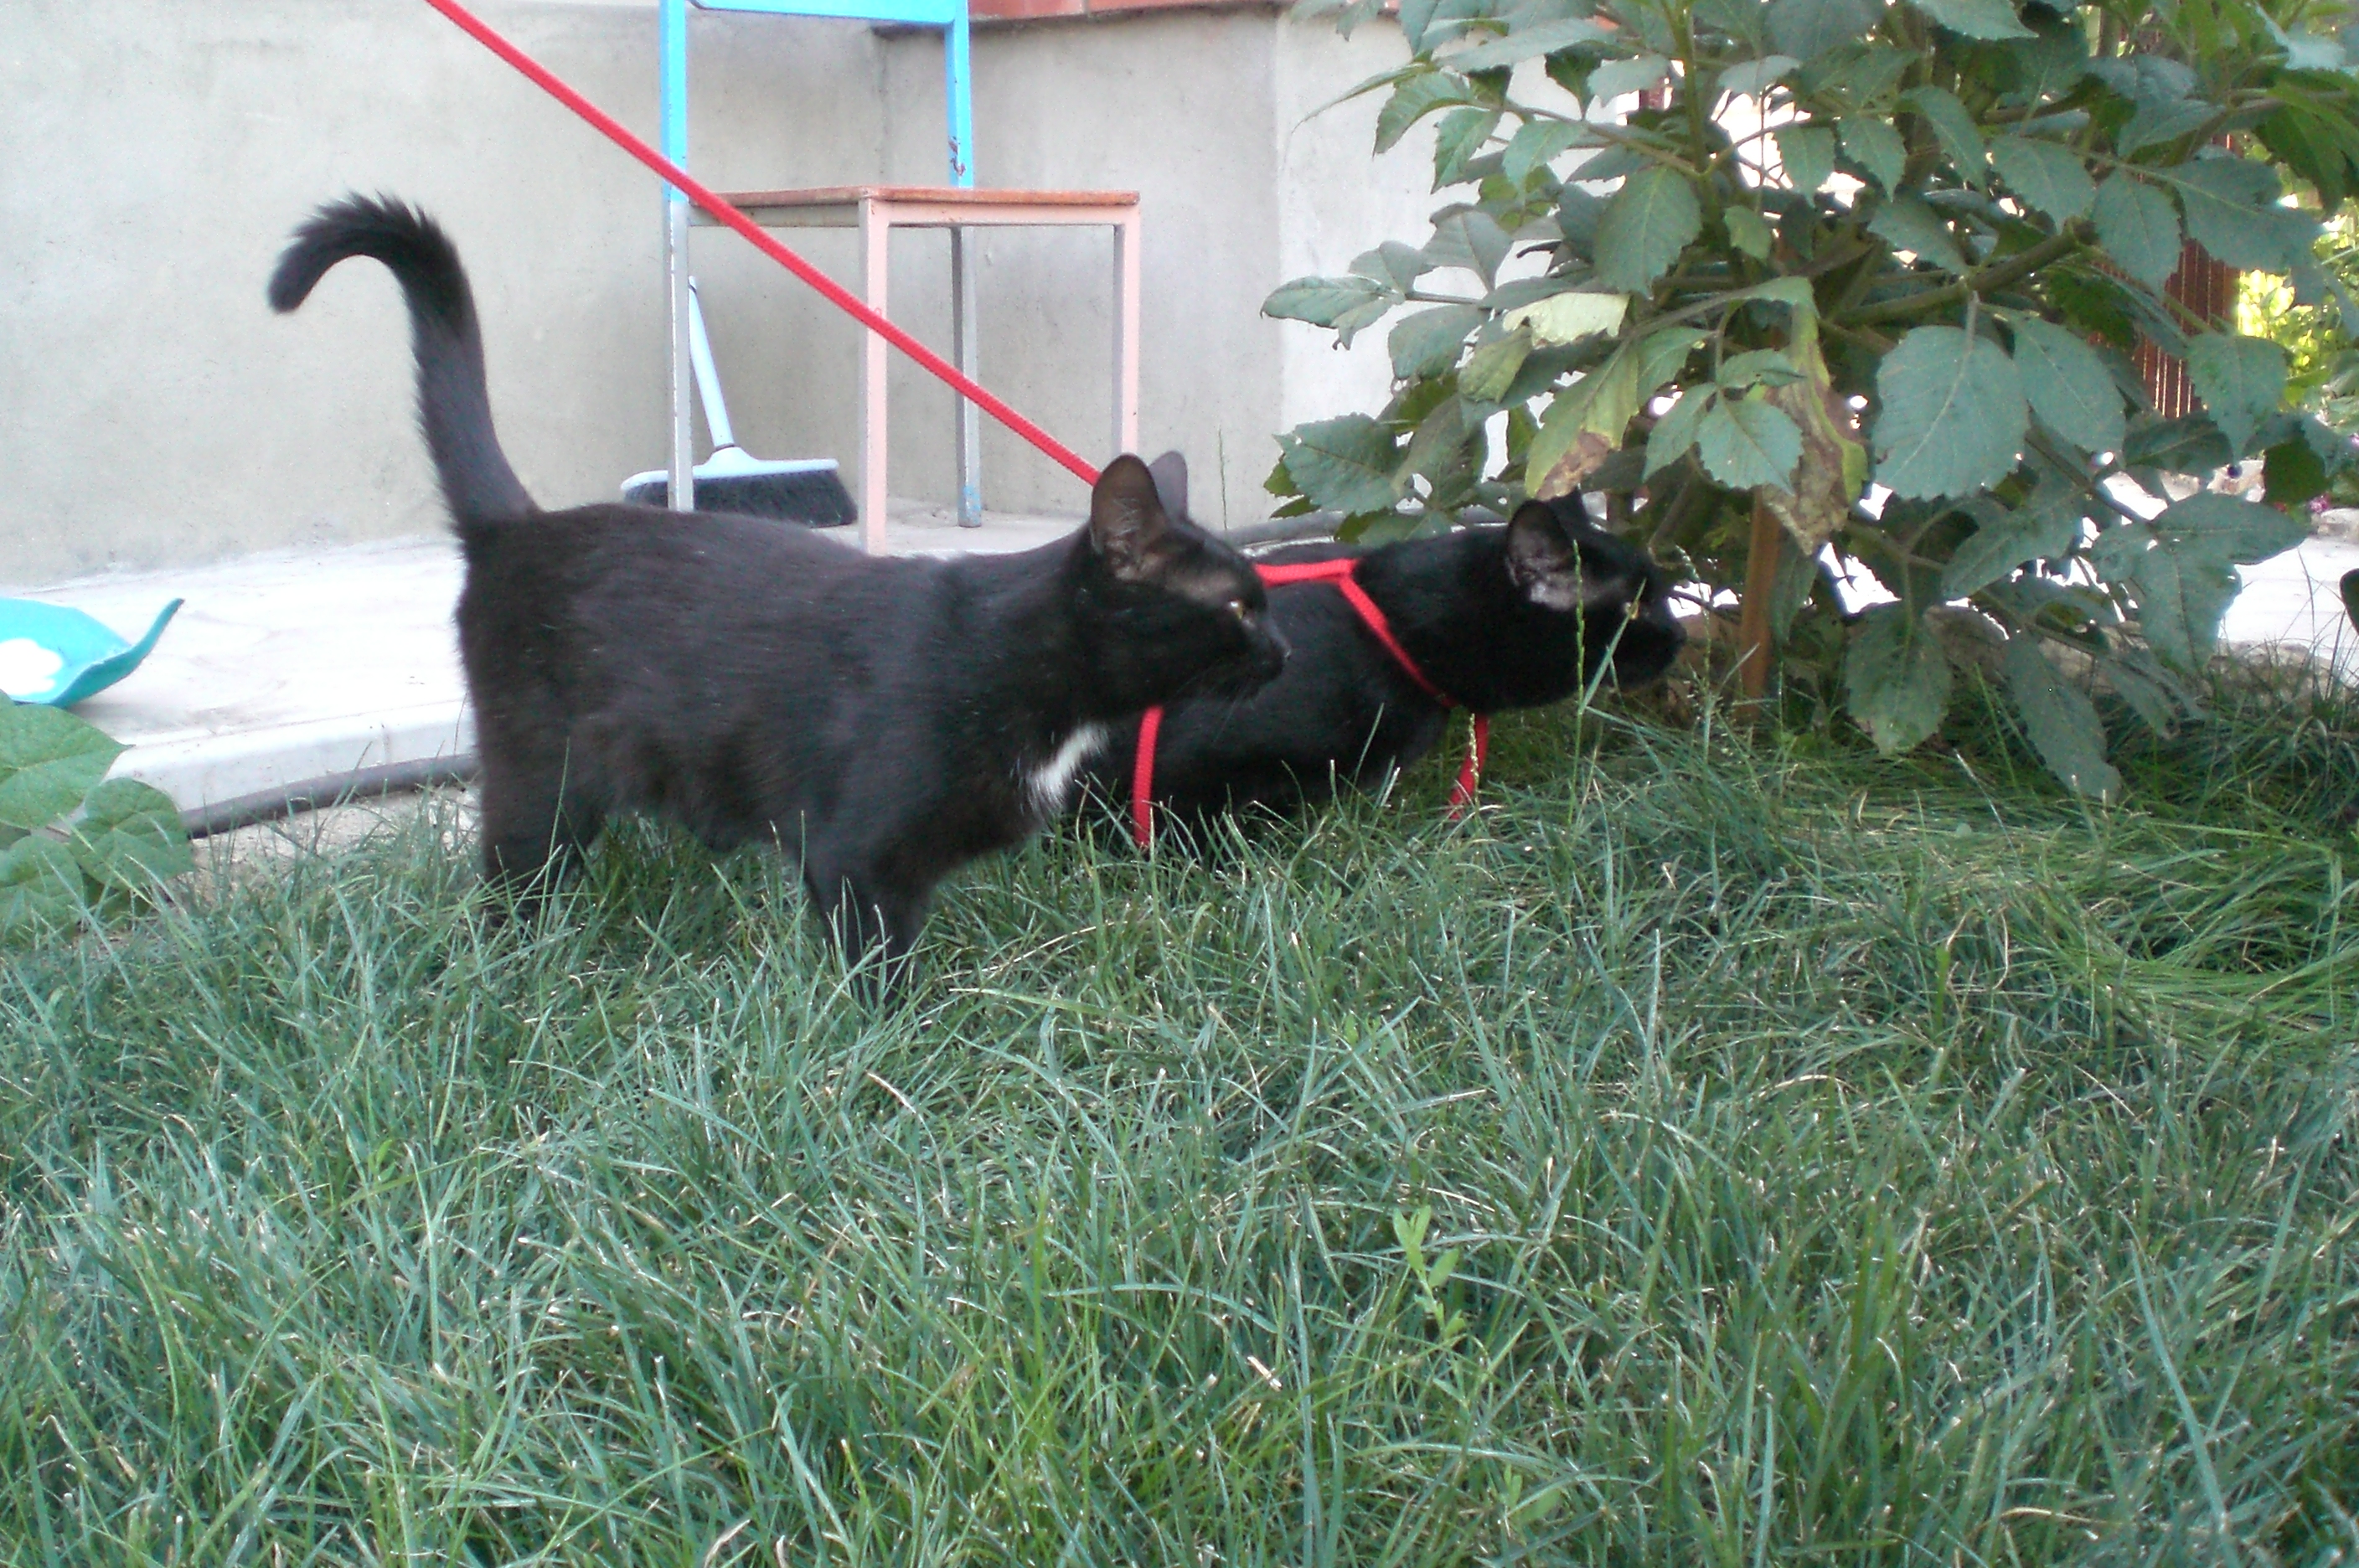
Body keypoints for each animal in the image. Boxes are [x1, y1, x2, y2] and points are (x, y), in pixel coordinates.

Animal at [269, 194, 1287, 977]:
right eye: (1239, 605)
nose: (1281, 650)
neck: (1024, 666)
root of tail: (521, 525)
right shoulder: (859, 858)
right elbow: (876, 970)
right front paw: (891, 1050)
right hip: (538, 774)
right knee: (509, 880)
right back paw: (516, 968)